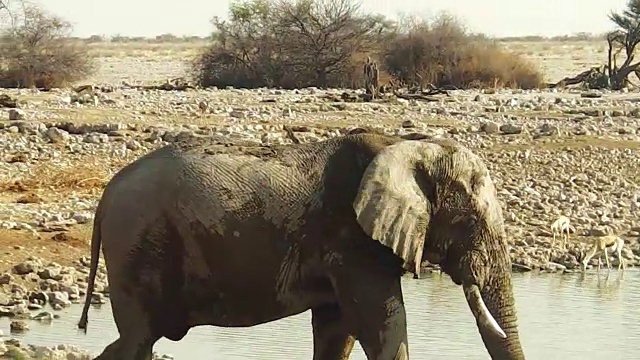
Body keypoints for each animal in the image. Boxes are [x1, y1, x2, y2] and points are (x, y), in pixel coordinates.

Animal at [76, 134, 524, 360]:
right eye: (470, 223)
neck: (407, 146)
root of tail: (107, 193)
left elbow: (337, 331)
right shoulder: (351, 240)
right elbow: (383, 326)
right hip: (137, 246)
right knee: (138, 339)